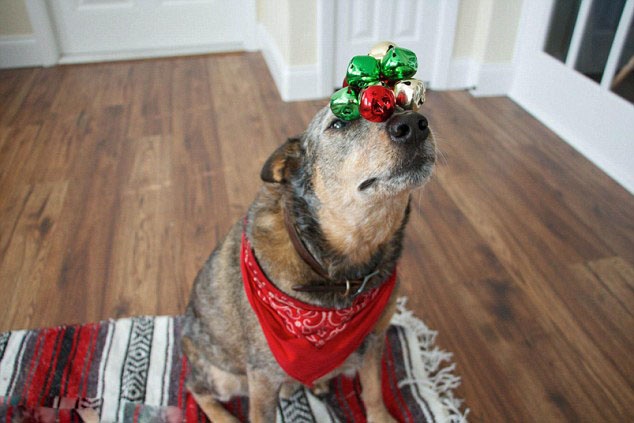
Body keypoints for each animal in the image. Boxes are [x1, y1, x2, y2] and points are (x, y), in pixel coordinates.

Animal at [181, 105, 435, 422]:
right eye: (338, 123)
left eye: (406, 104)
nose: (413, 124)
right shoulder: (263, 377)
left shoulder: (376, 339)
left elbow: (374, 391)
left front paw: (380, 417)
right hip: (224, 376)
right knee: (195, 388)